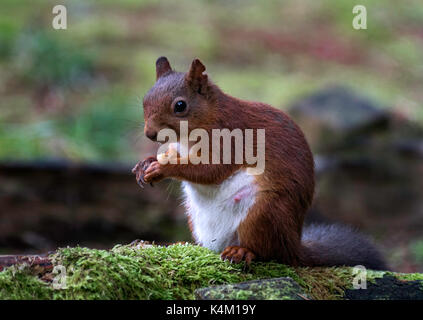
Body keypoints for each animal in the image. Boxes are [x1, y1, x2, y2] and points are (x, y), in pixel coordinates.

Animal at [132, 57, 388, 270]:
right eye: (144, 100)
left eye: (180, 106)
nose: (149, 134)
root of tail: (293, 245)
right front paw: (146, 163)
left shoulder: (230, 140)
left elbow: (210, 170)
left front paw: (163, 168)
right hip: (195, 215)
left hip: (264, 212)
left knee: (267, 251)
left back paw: (242, 252)